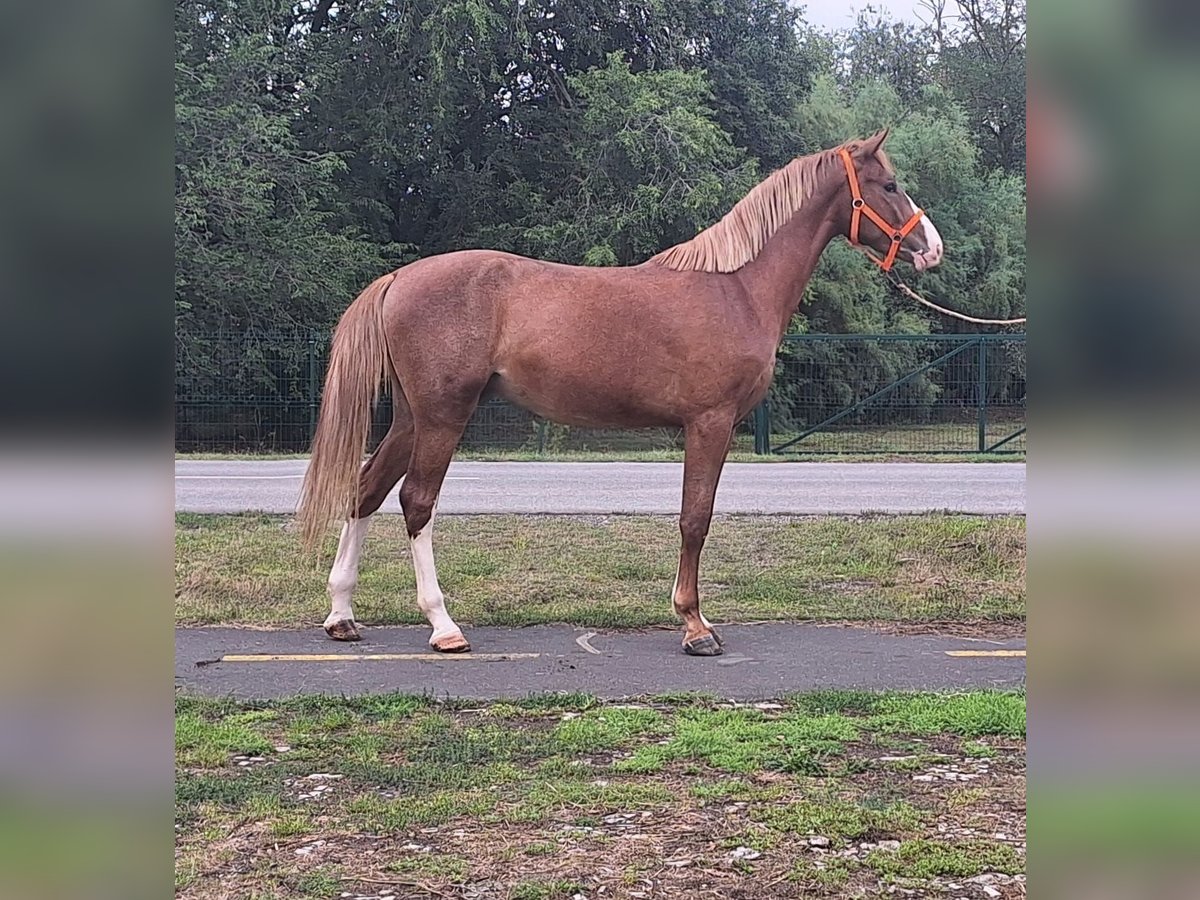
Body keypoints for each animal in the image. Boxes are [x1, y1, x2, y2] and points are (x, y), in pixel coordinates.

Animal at [295, 128, 940, 657]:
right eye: (889, 185)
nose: (931, 248)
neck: (735, 289)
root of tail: (399, 278)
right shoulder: (710, 423)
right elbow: (695, 519)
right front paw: (695, 627)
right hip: (442, 417)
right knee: (416, 502)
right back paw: (443, 626)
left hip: (412, 418)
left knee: (366, 491)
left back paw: (341, 615)